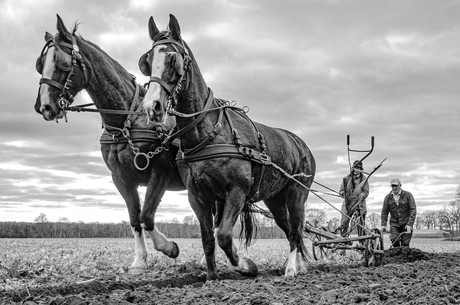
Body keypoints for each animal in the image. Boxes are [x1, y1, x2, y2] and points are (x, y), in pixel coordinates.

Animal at [34, 14, 185, 274]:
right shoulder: (121, 178)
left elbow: (146, 216)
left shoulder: (160, 172)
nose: (44, 106)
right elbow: (135, 219)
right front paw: (139, 261)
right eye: (40, 63)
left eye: (62, 62)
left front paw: (169, 247)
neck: (126, 121)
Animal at [137, 14, 316, 280]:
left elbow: (223, 235)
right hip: (274, 200)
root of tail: (301, 144)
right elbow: (208, 239)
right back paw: (297, 266)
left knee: (295, 231)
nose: (152, 107)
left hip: (297, 194)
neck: (209, 133)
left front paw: (245, 265)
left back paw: (291, 269)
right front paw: (212, 277)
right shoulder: (197, 196)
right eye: (147, 61)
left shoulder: (236, 191)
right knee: (288, 230)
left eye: (172, 59)